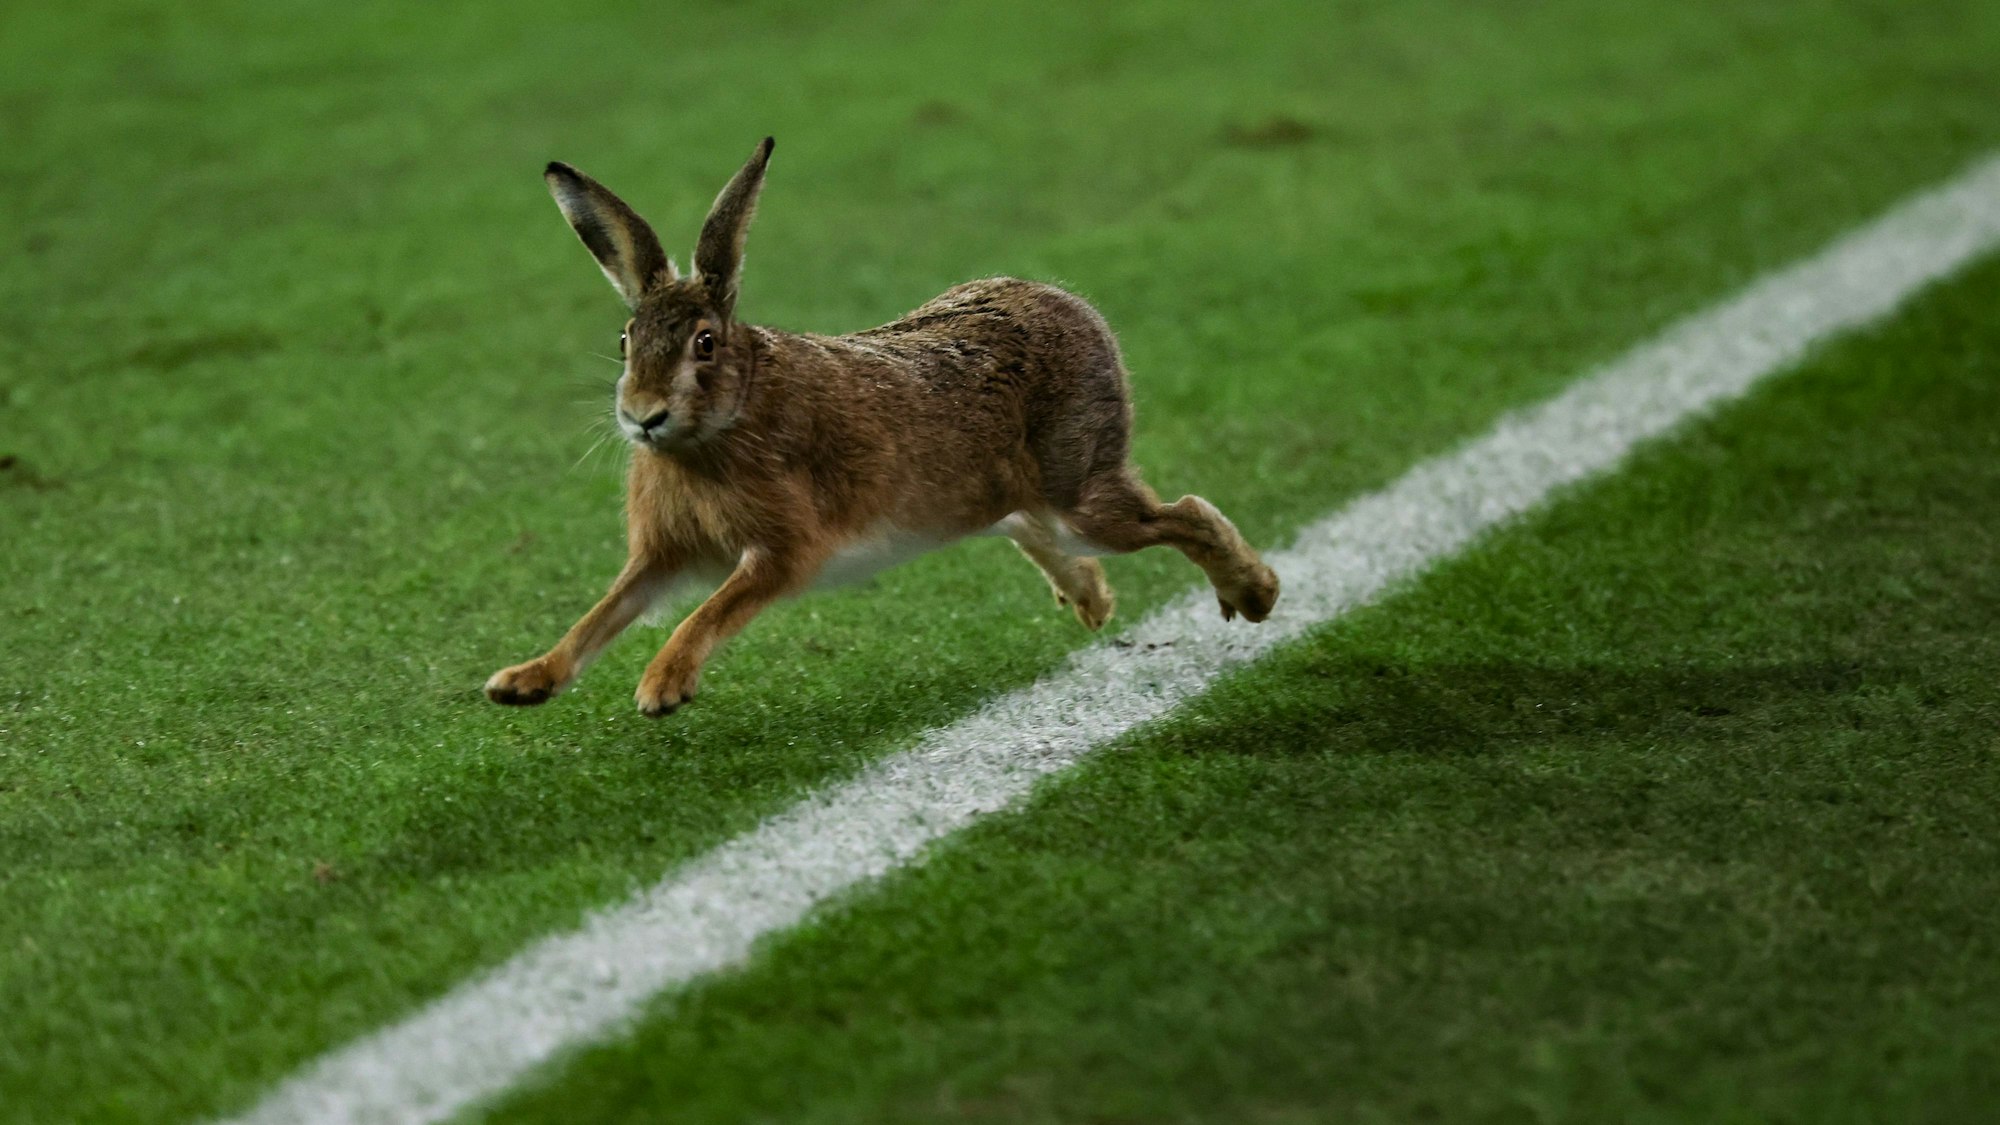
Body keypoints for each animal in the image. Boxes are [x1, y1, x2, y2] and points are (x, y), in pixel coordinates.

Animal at [485, 137, 1279, 716]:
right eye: (626, 340)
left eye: (704, 344)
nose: (642, 415)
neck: (725, 420)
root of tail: (1070, 306)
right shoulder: (663, 554)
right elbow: (602, 614)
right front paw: (524, 681)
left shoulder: (783, 550)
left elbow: (710, 611)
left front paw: (661, 687)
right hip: (994, 497)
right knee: (1031, 525)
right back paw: (1093, 600)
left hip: (1079, 485)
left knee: (1182, 513)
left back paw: (1256, 593)